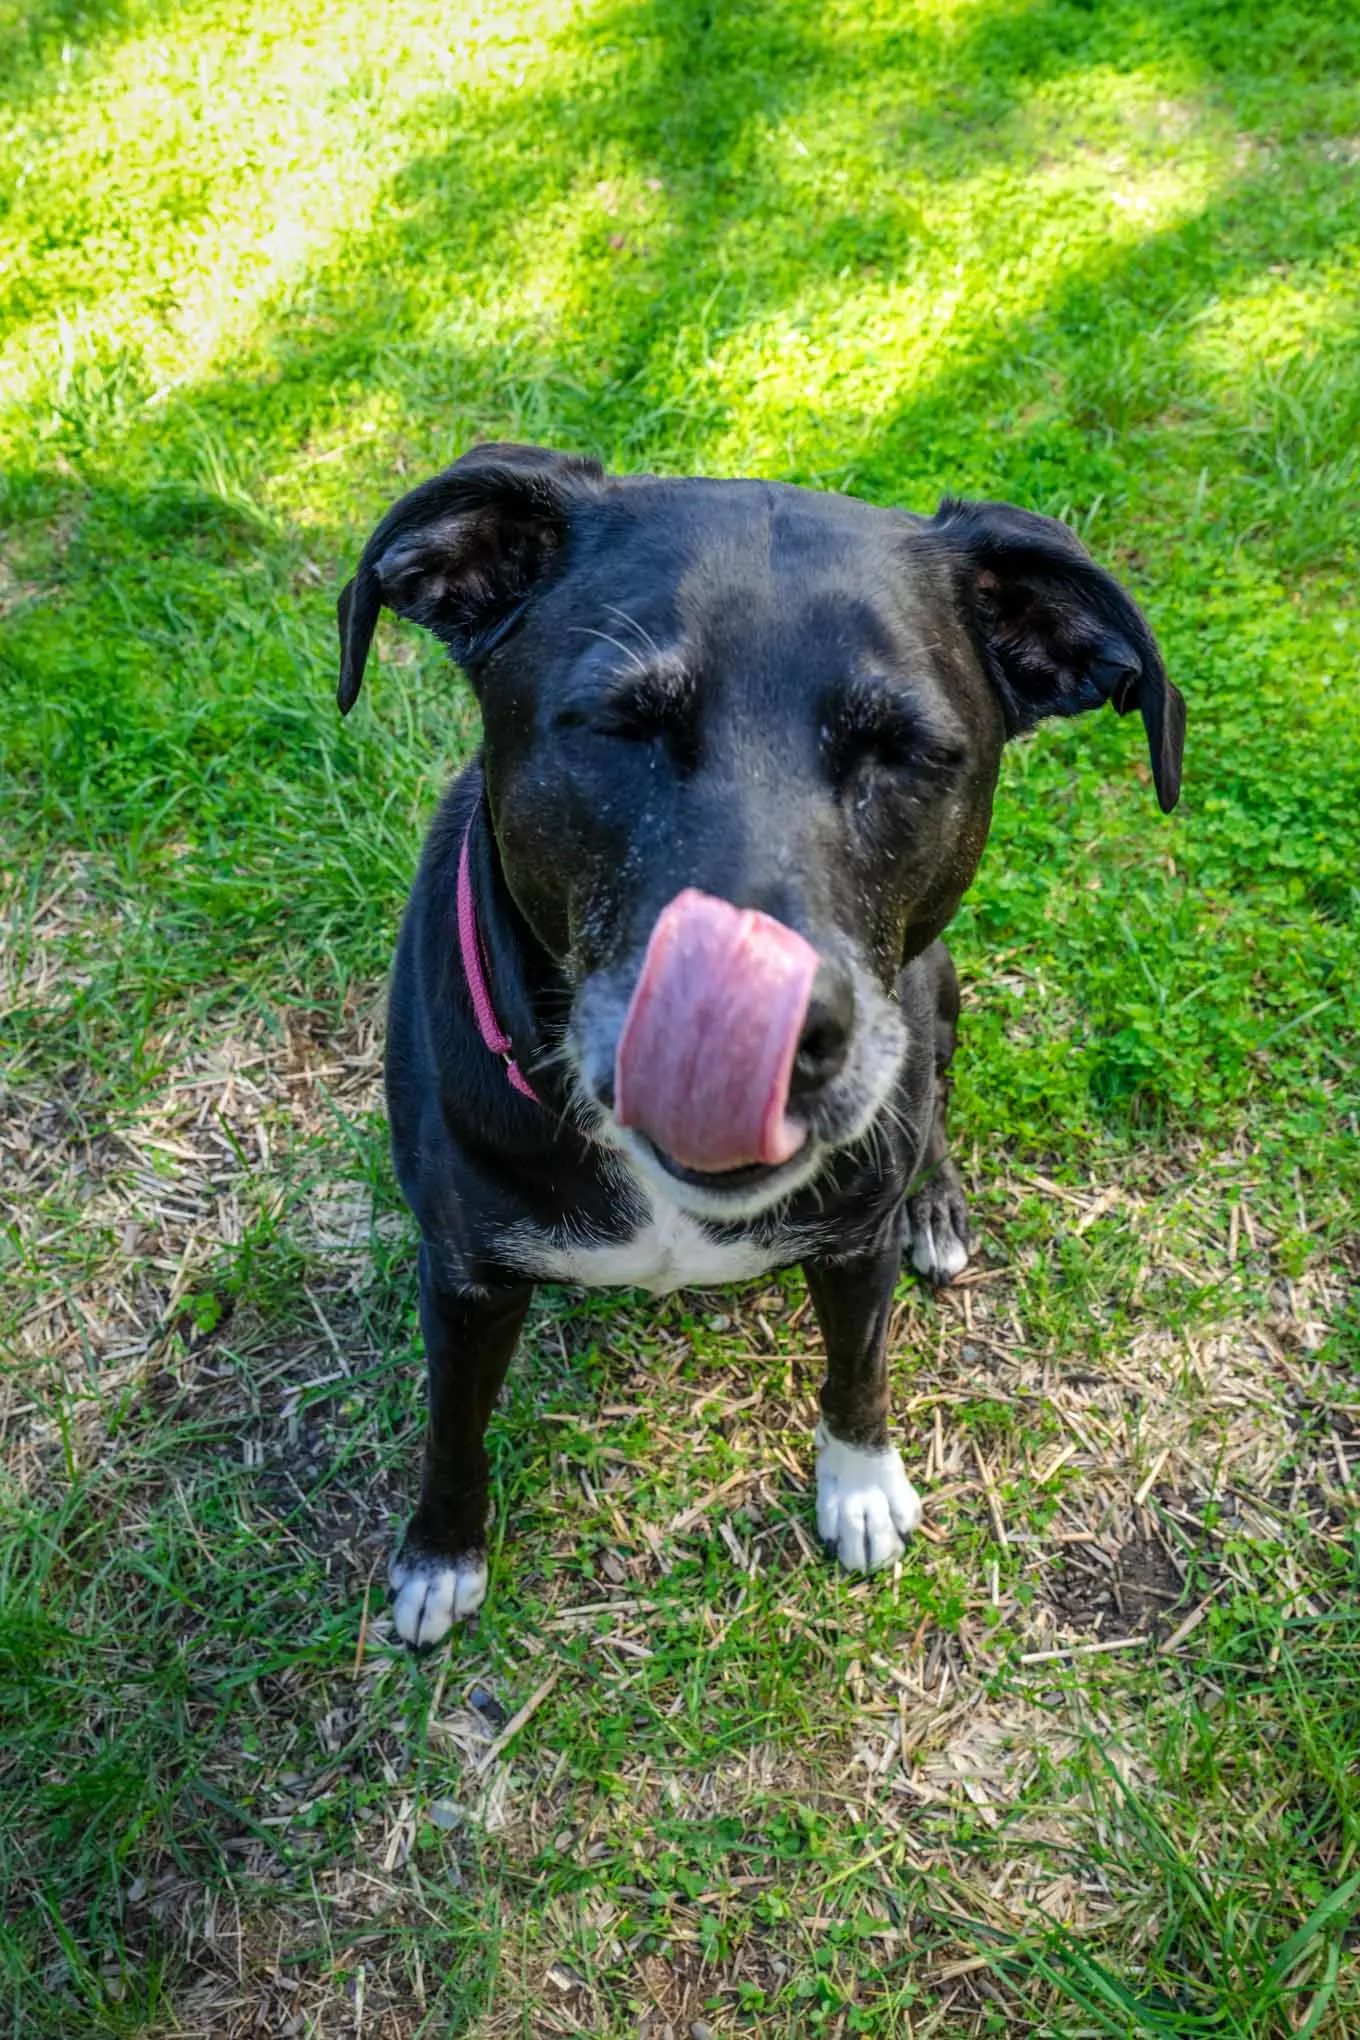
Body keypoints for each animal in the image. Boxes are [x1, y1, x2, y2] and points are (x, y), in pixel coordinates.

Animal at [334, 438, 1182, 1648]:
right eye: (622, 723)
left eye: (904, 752)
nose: (754, 1038)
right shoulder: (462, 1277)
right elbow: (453, 1428)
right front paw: (440, 1556)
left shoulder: (851, 1243)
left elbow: (858, 1370)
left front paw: (859, 1486)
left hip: (938, 992)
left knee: (933, 1104)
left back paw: (935, 1204)